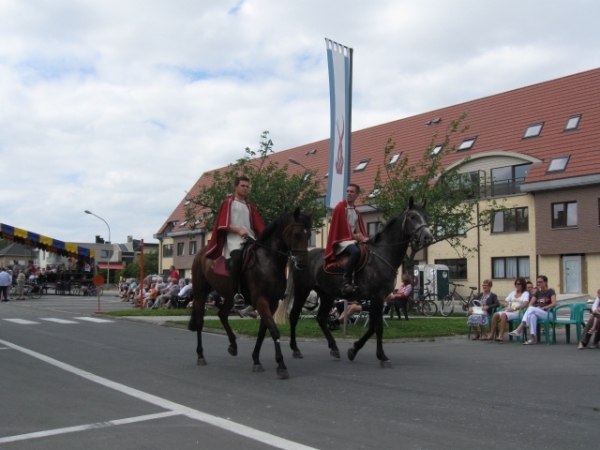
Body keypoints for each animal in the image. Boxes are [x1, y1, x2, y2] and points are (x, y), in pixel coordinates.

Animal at [189, 209, 312, 378]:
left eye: (310, 235)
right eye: (298, 234)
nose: (303, 263)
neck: (268, 261)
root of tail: (202, 252)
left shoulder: (272, 303)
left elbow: (263, 331)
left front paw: (256, 360)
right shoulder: (261, 301)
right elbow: (274, 330)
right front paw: (281, 365)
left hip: (229, 296)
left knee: (222, 315)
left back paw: (233, 345)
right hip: (200, 292)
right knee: (200, 322)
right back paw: (201, 355)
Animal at [290, 199, 434, 368]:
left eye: (426, 216)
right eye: (412, 217)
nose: (428, 237)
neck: (382, 255)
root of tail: (301, 258)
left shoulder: (375, 300)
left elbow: (372, 327)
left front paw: (353, 350)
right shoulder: (377, 298)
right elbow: (378, 327)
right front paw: (382, 356)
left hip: (326, 295)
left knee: (321, 318)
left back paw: (334, 348)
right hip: (302, 290)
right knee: (294, 315)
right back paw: (295, 349)